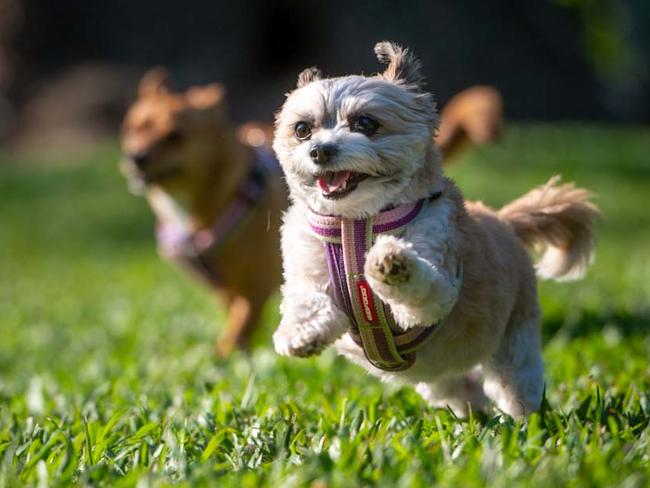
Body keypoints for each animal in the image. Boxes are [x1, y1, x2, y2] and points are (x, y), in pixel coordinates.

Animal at [117, 68, 502, 356]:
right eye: (132, 128)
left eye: (175, 136)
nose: (136, 157)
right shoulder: (231, 288)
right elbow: (240, 321)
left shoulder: (254, 285)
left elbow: (239, 324)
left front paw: (225, 356)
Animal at [270, 42, 596, 418]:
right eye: (302, 129)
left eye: (365, 123)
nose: (320, 150)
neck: (358, 222)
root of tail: (503, 220)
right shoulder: (308, 270)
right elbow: (307, 302)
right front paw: (299, 334)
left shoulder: (438, 282)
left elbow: (422, 286)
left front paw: (391, 263)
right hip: (435, 376)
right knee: (458, 385)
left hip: (515, 344)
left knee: (516, 384)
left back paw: (525, 420)